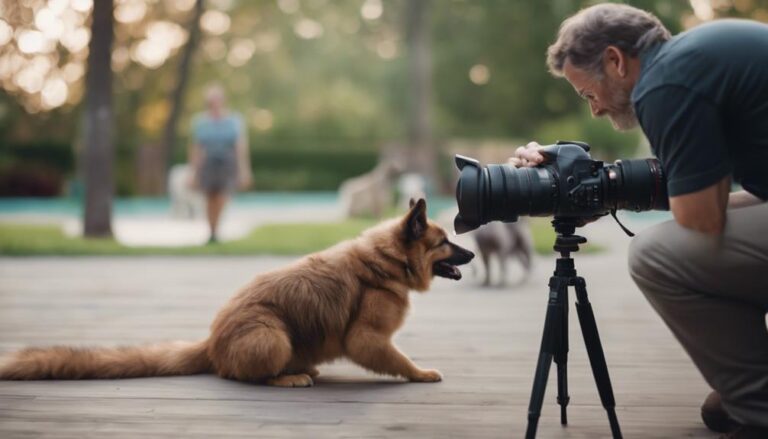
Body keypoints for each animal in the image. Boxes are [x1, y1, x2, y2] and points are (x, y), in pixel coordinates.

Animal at [0, 199, 474, 388]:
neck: (388, 260)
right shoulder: (367, 339)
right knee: (248, 376)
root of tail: (212, 343)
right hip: (272, 334)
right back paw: (289, 376)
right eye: (444, 242)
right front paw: (420, 374)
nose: (471, 252)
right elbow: (399, 361)